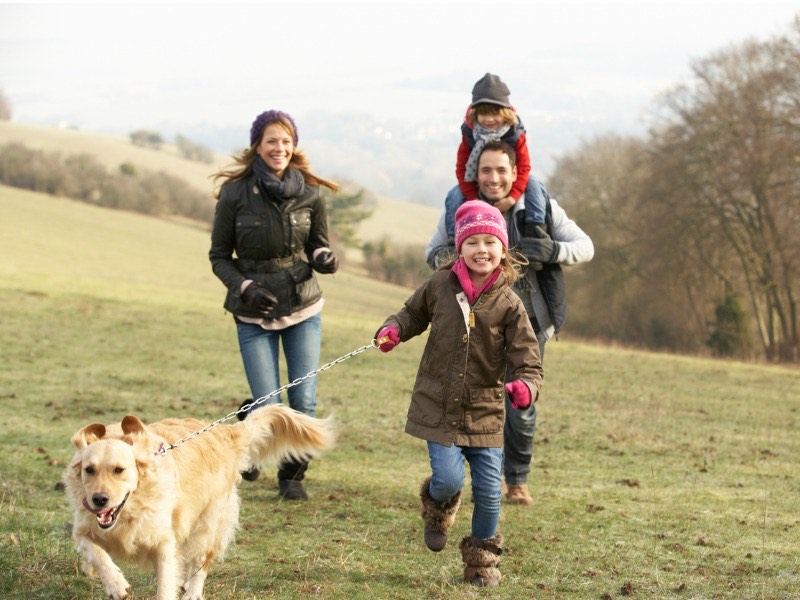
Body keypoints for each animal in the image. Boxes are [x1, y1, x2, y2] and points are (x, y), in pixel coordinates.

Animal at [63, 404, 334, 600]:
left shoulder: (163, 542)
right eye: (89, 470)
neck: (130, 510)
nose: (99, 499)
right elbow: (96, 552)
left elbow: (165, 585)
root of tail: (225, 432)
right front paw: (115, 583)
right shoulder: (84, 529)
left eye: (119, 470)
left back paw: (192, 592)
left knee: (201, 562)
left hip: (207, 524)